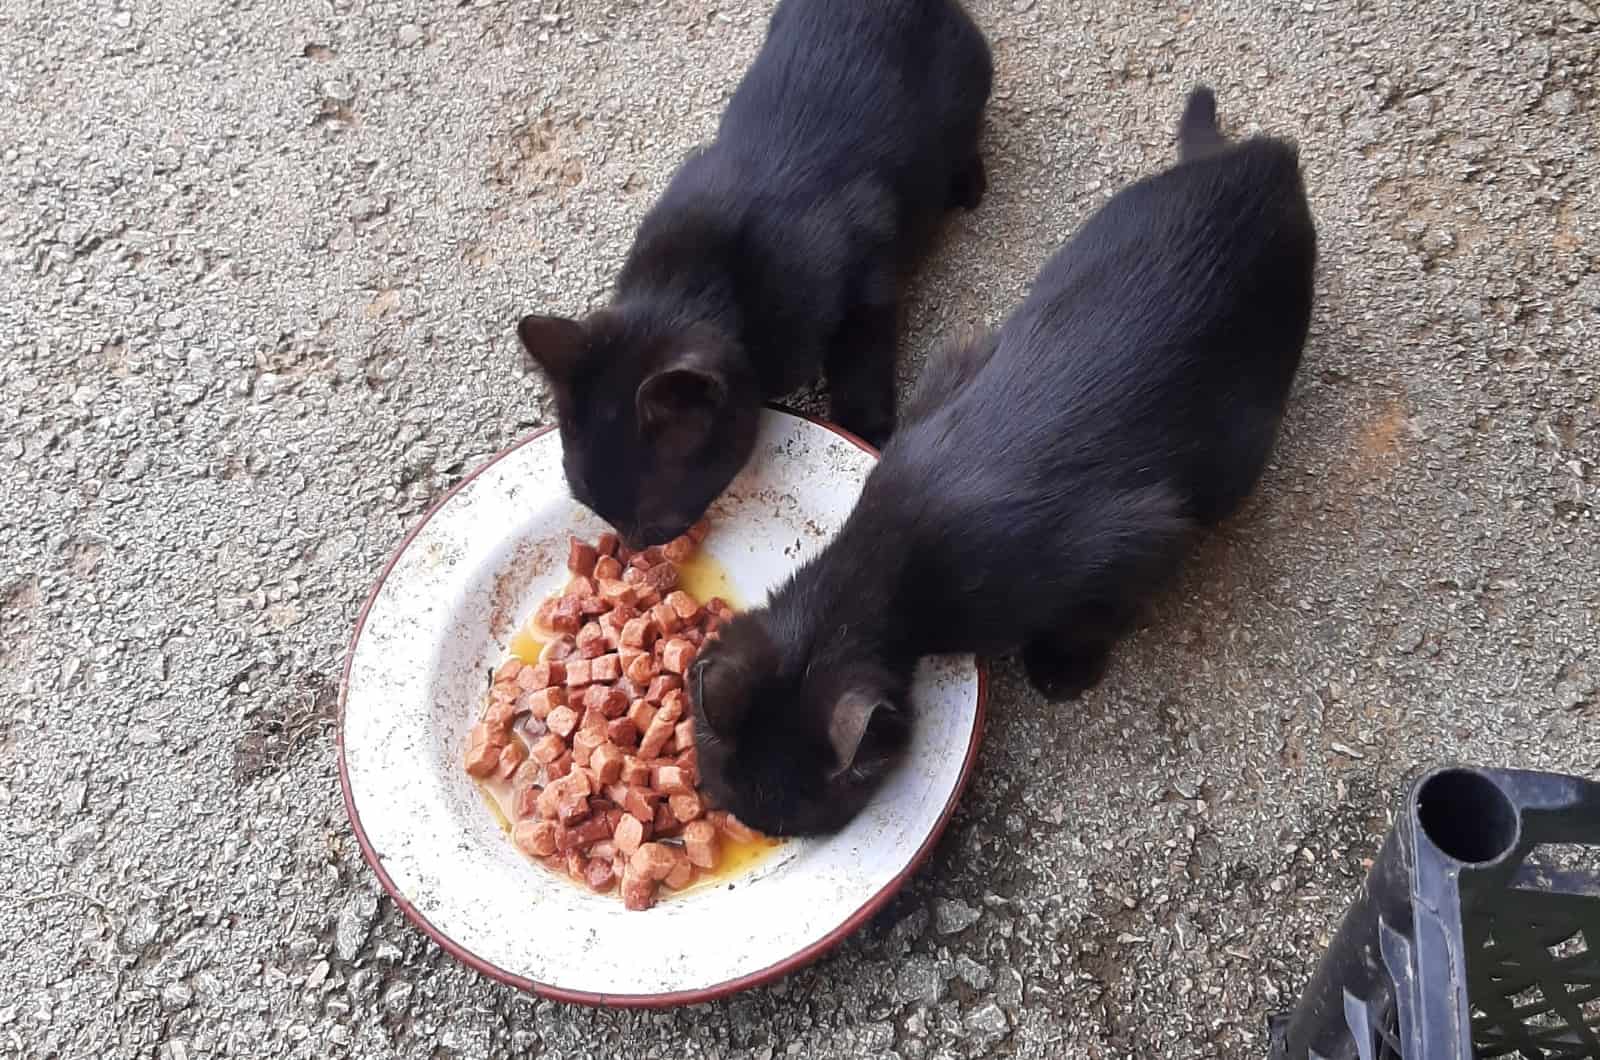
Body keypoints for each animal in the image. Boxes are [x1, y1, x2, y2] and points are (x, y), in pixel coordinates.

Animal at [515, 0, 985, 547]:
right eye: (588, 506)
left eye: (655, 524)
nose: (633, 550)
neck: (691, 281)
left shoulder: (867, 290)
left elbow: (862, 366)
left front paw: (866, 430)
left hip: (966, 84)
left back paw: (967, 184)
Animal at [694, 89, 1318, 839]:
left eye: (785, 824)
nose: (754, 829)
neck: (891, 548)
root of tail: (1262, 159)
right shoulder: (952, 374)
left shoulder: (1136, 541)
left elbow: (1098, 611)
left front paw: (1061, 670)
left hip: (1241, 443)